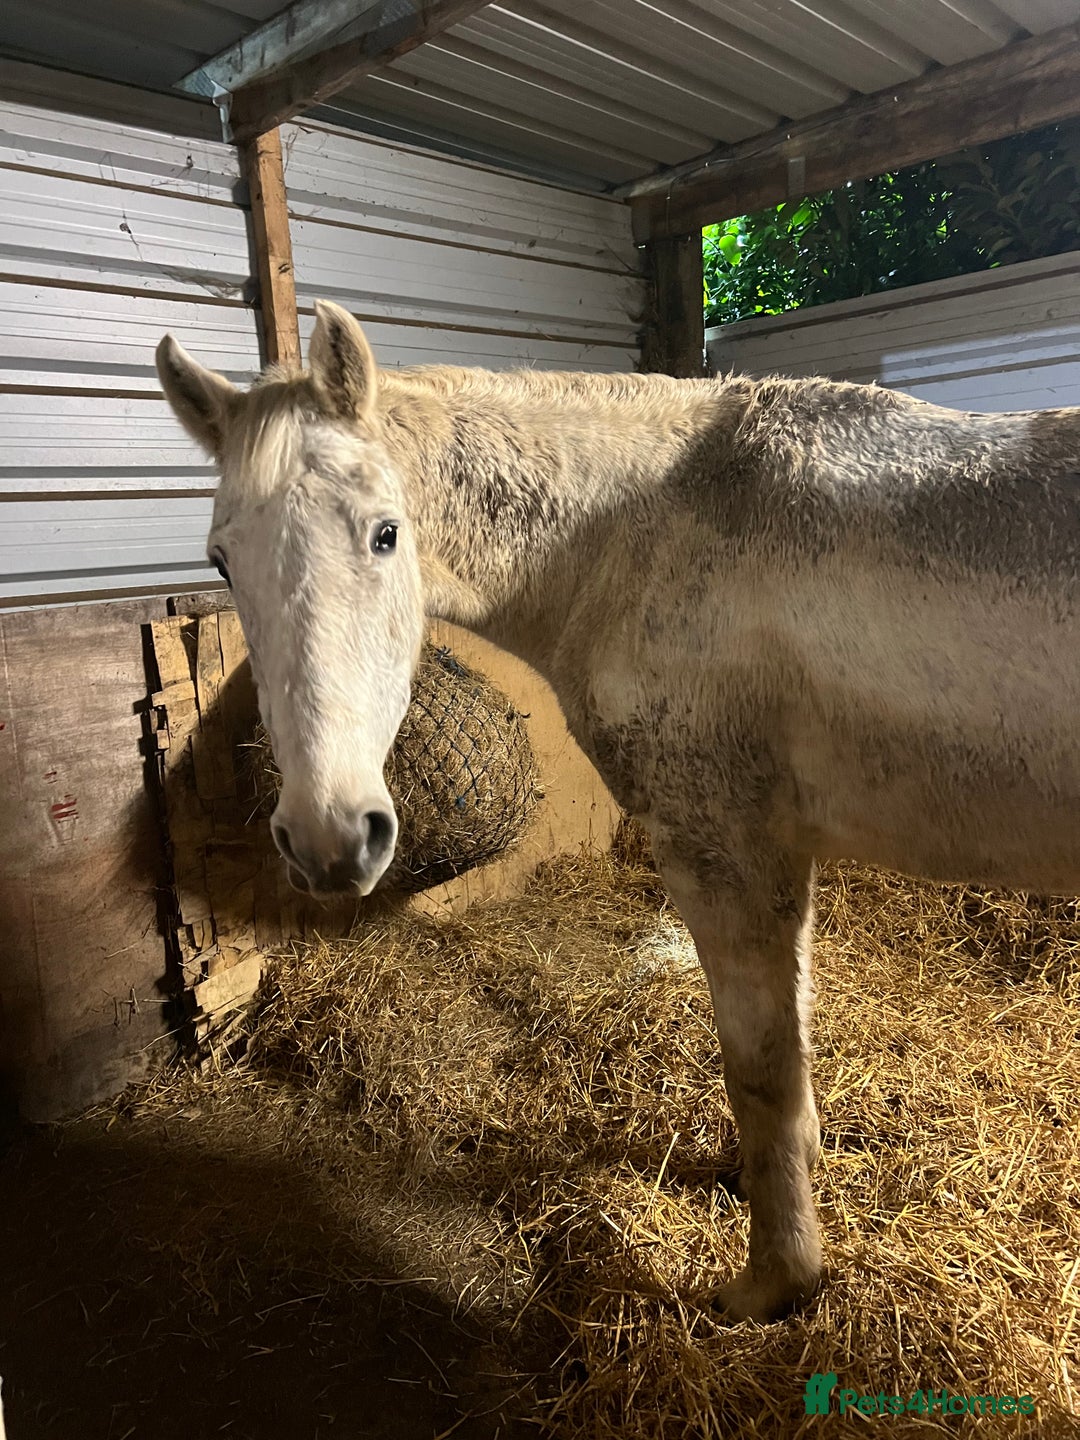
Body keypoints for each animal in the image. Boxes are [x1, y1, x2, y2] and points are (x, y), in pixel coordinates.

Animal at [156, 300, 1080, 1322]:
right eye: (222, 561)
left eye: (385, 533)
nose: (327, 837)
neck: (643, 531)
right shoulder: (777, 853)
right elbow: (791, 1053)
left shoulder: (725, 850)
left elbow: (760, 1068)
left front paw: (774, 1281)